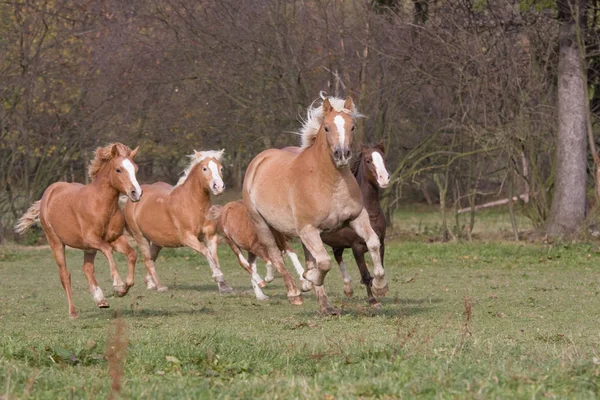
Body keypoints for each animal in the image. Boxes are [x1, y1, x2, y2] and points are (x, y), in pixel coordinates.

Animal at [15, 144, 142, 318]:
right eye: (118, 170)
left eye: (135, 169)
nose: (136, 193)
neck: (100, 204)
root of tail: (49, 192)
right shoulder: (92, 239)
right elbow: (107, 250)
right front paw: (117, 284)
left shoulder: (115, 238)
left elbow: (132, 254)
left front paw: (123, 289)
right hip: (56, 243)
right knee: (65, 275)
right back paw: (73, 312)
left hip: (88, 248)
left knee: (87, 269)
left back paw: (100, 300)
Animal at [123, 150, 232, 294]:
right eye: (204, 168)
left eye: (221, 168)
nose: (218, 187)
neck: (193, 204)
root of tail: (133, 198)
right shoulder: (187, 237)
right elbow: (205, 251)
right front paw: (218, 276)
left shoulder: (211, 236)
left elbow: (214, 257)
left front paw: (224, 285)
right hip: (140, 237)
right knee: (148, 261)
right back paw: (160, 286)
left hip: (157, 241)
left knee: (152, 257)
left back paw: (150, 283)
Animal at [302, 141, 392, 306]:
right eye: (368, 160)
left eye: (385, 159)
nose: (384, 179)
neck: (370, 213)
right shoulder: (357, 247)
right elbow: (365, 275)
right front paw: (372, 300)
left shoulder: (381, 243)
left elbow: (379, 268)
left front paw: (380, 288)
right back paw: (307, 283)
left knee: (337, 255)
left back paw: (348, 288)